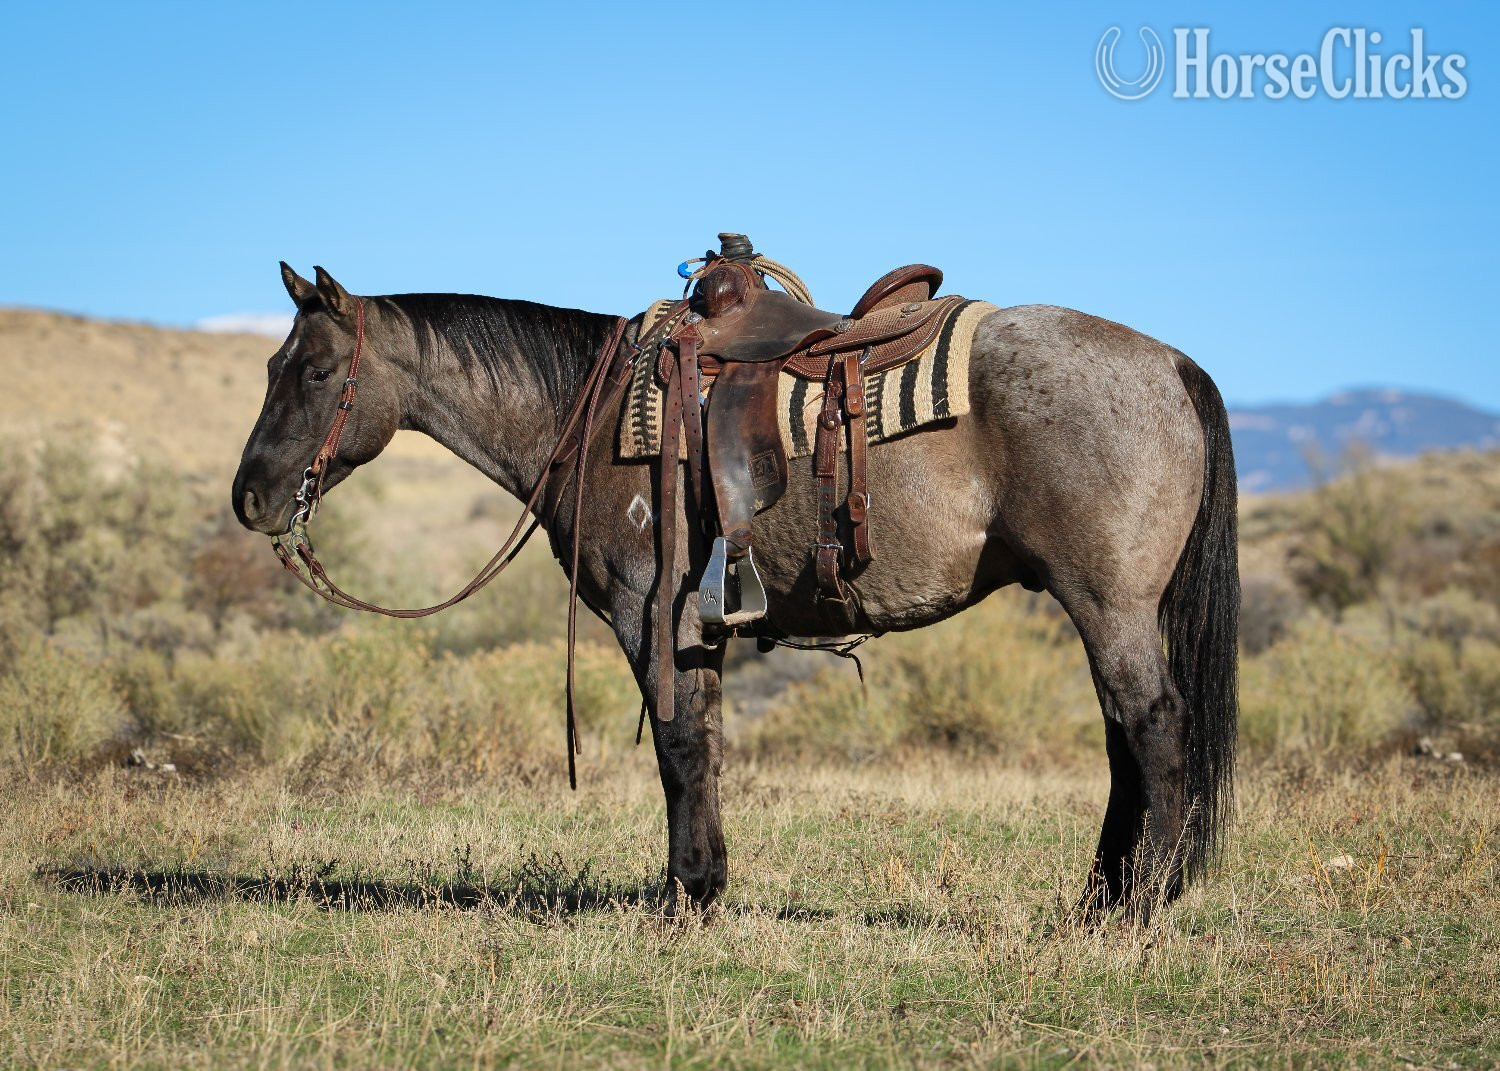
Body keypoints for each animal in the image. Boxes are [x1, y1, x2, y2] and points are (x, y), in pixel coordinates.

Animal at [232, 262, 1238, 922]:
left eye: (314, 371)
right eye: (271, 367)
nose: (249, 496)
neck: (594, 414)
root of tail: (1172, 363)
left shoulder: (651, 612)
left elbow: (679, 747)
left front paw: (683, 896)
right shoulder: (695, 627)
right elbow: (705, 743)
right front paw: (706, 884)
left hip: (1107, 605)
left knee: (1151, 726)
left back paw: (1141, 901)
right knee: (1123, 739)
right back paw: (1102, 896)